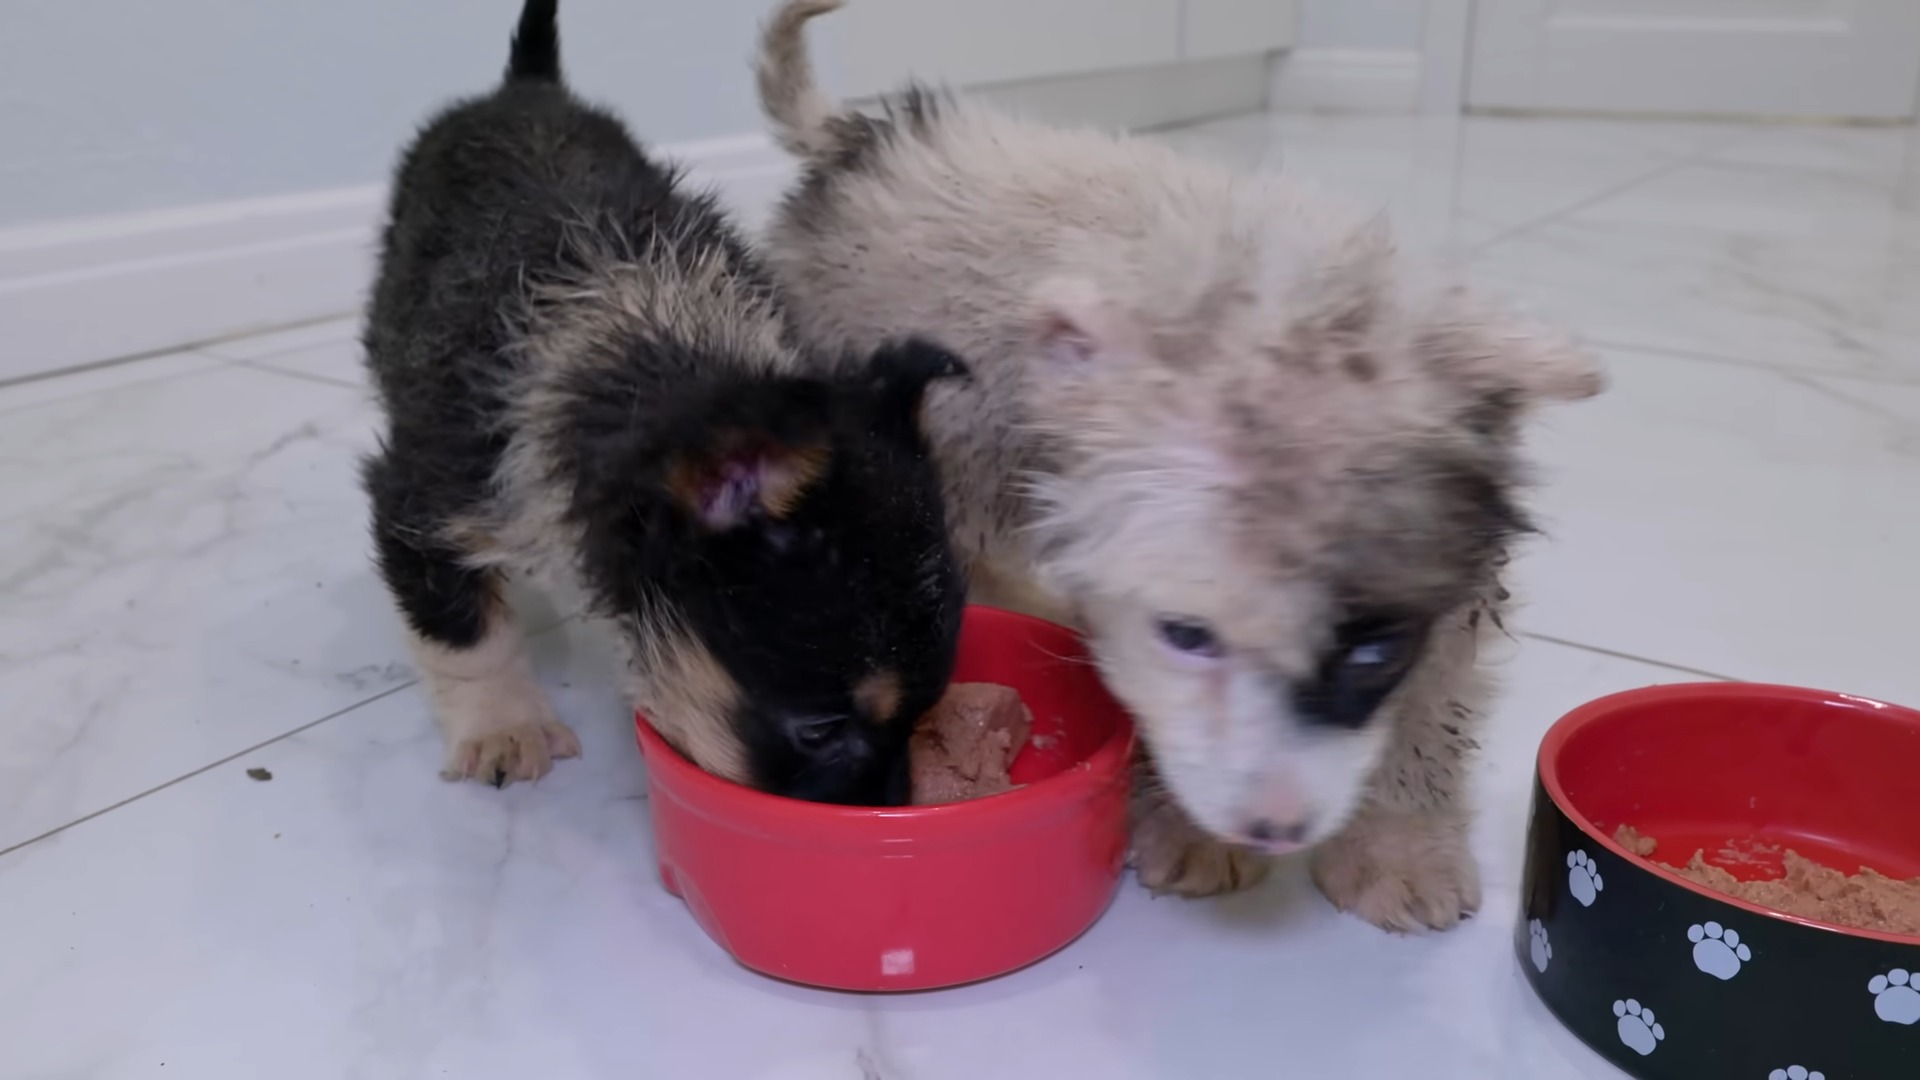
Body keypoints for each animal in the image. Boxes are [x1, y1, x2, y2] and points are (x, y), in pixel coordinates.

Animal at [359, 0, 967, 799]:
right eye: (821, 729)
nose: (891, 811)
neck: (659, 348)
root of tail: (525, 82)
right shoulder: (420, 502)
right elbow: (464, 632)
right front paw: (504, 729)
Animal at [748, 0, 1605, 930]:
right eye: (1188, 636)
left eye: (1374, 652)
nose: (1273, 828)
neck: (1249, 295)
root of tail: (857, 139)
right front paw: (1193, 829)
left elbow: (1436, 690)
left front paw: (1397, 841)